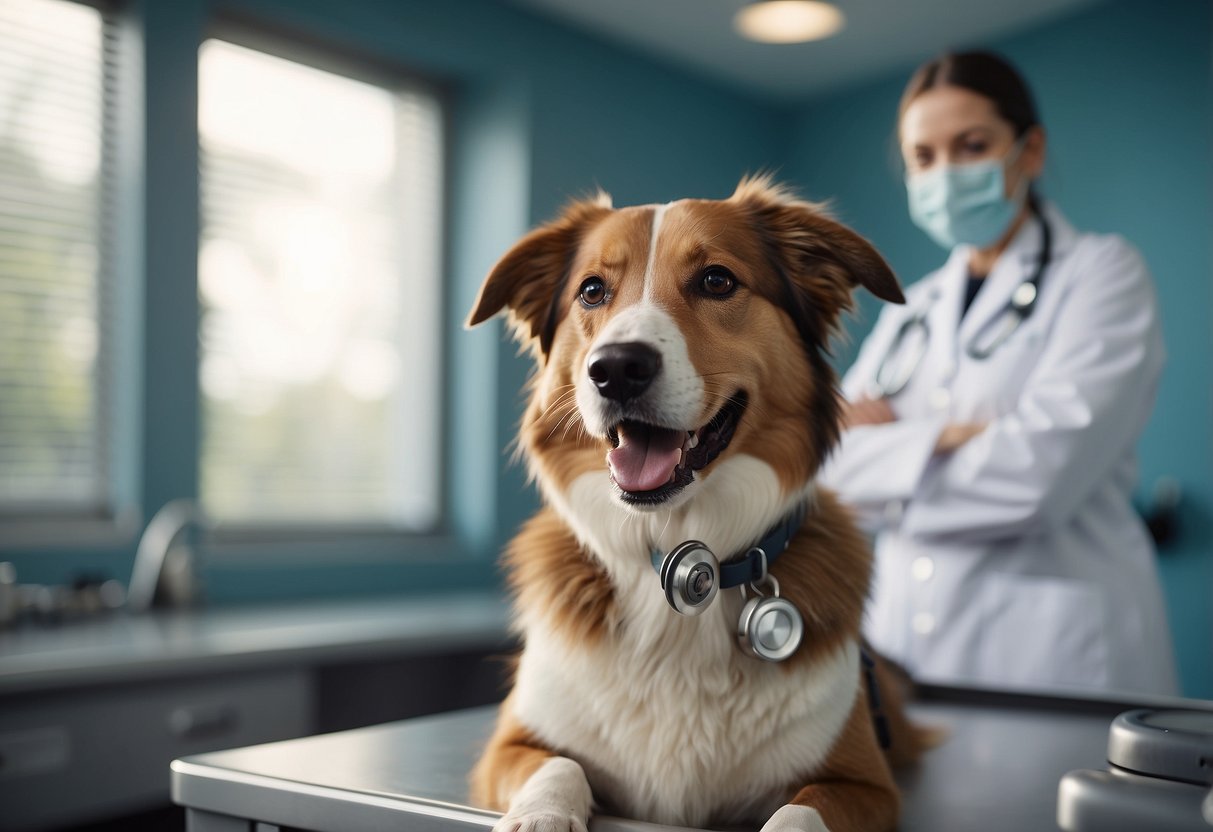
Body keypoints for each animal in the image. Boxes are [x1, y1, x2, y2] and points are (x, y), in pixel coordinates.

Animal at [465, 177, 926, 832]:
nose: (616, 369)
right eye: (592, 290)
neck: (678, 556)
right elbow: (559, 765)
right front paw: (542, 818)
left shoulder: (865, 784)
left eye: (716, 280)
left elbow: (797, 815)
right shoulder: (509, 746)